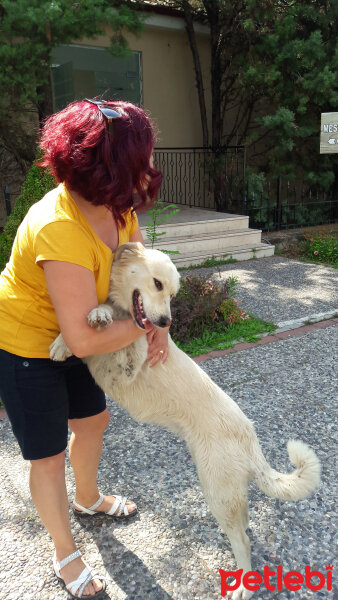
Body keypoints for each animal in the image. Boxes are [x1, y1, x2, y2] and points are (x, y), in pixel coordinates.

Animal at [49, 241, 320, 596]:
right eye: (157, 284)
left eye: (172, 294)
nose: (165, 322)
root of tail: (251, 440)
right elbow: (91, 326)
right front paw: (90, 321)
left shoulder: (123, 366)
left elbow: (101, 345)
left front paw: (80, 334)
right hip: (225, 490)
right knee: (244, 520)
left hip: (216, 489)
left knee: (244, 541)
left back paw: (243, 585)